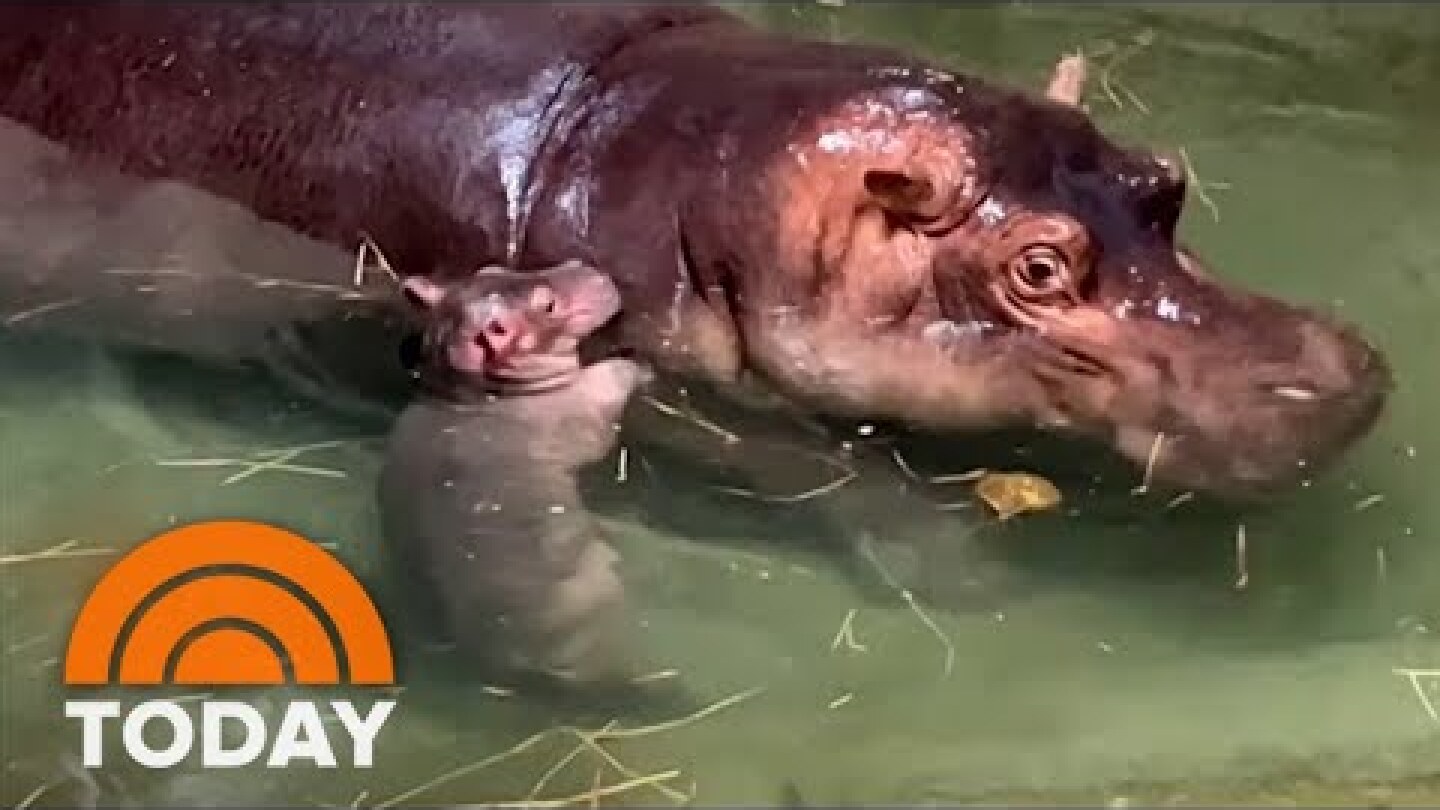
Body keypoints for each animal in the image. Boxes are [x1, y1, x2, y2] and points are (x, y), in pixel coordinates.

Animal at [379, 259, 652, 687]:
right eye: (548, 305)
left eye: (492, 267)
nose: (584, 264)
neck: (473, 392)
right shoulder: (581, 410)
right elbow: (610, 381)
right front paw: (636, 363)